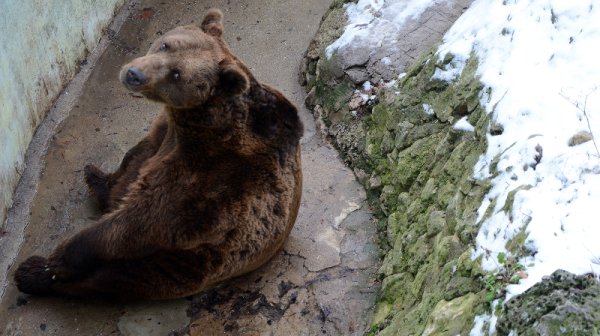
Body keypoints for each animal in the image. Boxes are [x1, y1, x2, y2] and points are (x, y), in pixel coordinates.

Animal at [12, 8, 304, 300]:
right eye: (166, 44)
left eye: (176, 74)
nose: (134, 74)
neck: (196, 124)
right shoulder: (166, 131)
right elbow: (138, 155)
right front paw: (103, 179)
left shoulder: (209, 180)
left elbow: (140, 222)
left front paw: (59, 259)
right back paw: (94, 179)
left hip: (179, 267)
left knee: (111, 279)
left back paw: (33, 273)